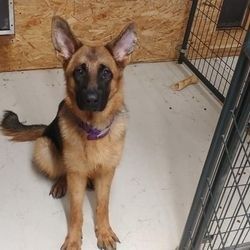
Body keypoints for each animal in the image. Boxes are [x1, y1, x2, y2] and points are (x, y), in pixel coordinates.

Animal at [0, 16, 137, 250]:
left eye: (106, 73)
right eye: (79, 71)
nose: (91, 99)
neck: (93, 130)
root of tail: (47, 125)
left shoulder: (107, 173)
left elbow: (103, 206)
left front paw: (104, 232)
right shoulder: (76, 177)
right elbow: (75, 212)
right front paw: (73, 240)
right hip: (44, 148)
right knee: (62, 169)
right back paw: (60, 183)